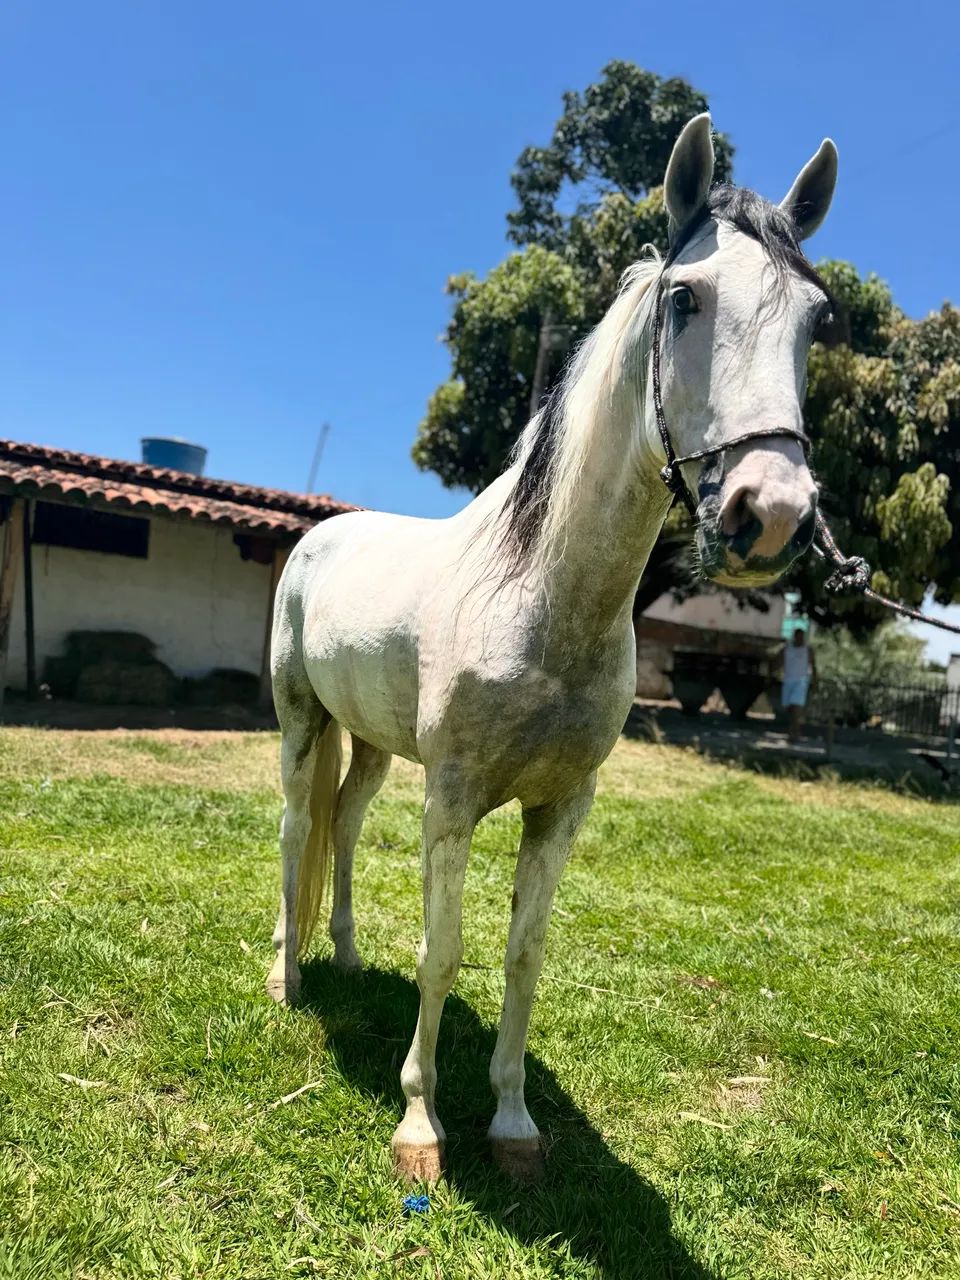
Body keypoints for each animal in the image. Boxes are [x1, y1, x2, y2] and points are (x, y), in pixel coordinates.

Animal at [266, 114, 839, 1182]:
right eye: (686, 298)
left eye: (818, 321)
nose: (772, 515)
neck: (540, 599)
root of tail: (320, 534)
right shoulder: (452, 802)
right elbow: (443, 952)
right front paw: (420, 1127)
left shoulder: (562, 809)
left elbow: (523, 955)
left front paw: (513, 1124)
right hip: (299, 722)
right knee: (293, 830)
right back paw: (289, 976)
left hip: (372, 746)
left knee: (345, 822)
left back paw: (348, 956)